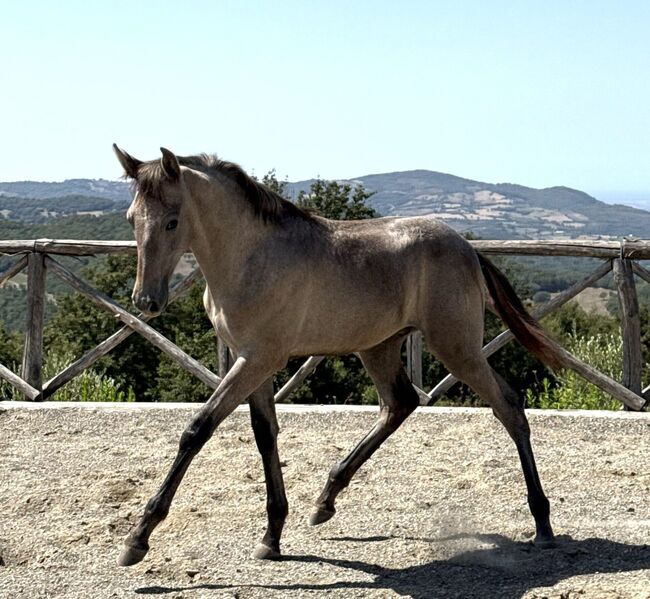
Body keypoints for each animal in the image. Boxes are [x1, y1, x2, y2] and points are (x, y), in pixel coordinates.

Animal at [112, 144, 568, 567]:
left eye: (172, 220)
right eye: (132, 219)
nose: (146, 301)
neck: (250, 258)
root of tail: (468, 249)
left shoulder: (257, 360)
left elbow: (197, 429)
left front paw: (138, 538)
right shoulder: (255, 362)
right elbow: (264, 435)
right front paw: (272, 537)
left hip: (458, 348)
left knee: (508, 405)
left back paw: (543, 523)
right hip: (379, 346)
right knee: (399, 404)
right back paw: (325, 501)